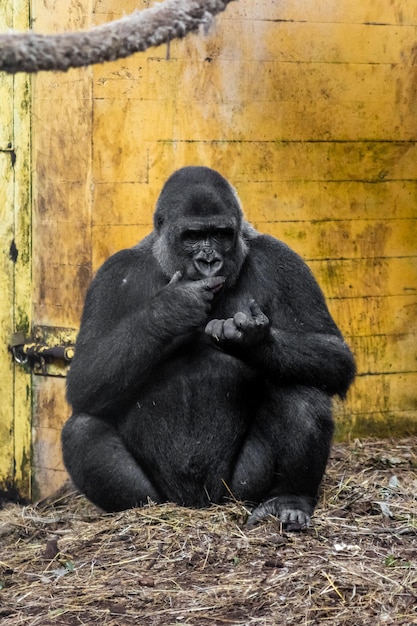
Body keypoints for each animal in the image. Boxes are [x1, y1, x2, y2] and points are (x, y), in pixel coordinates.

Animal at [62, 166, 354, 528]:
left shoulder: (284, 260)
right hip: (167, 495)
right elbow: (84, 377)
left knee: (303, 388)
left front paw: (252, 343)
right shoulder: (113, 275)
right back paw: (136, 510)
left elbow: (334, 354)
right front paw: (170, 309)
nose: (209, 261)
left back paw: (289, 497)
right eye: (192, 236)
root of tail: (199, 504)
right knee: (82, 428)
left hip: (238, 489)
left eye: (220, 235)